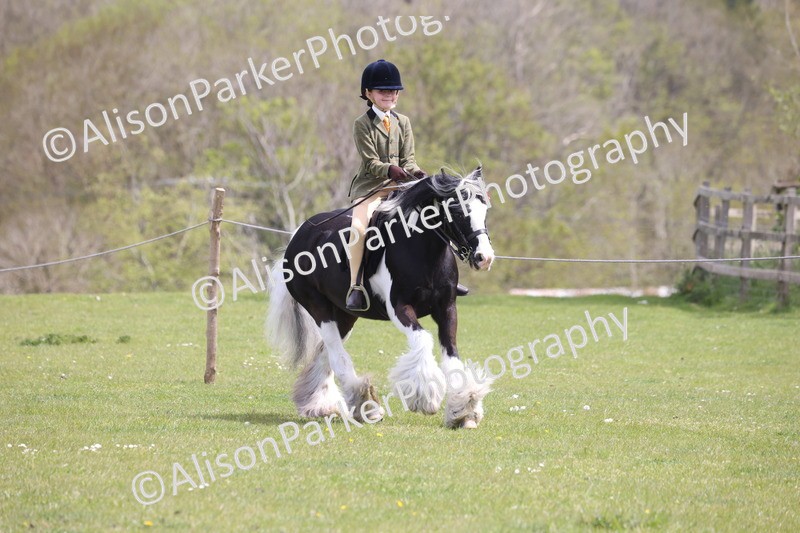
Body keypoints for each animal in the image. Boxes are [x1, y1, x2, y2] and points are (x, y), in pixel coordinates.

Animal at [266, 167, 495, 429]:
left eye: (485, 210)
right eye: (457, 211)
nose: (484, 258)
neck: (422, 250)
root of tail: (299, 235)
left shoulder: (447, 308)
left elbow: (452, 354)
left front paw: (464, 409)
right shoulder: (400, 308)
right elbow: (423, 340)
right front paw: (425, 397)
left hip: (345, 315)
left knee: (325, 354)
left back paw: (324, 405)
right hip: (319, 309)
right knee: (335, 355)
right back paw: (366, 405)